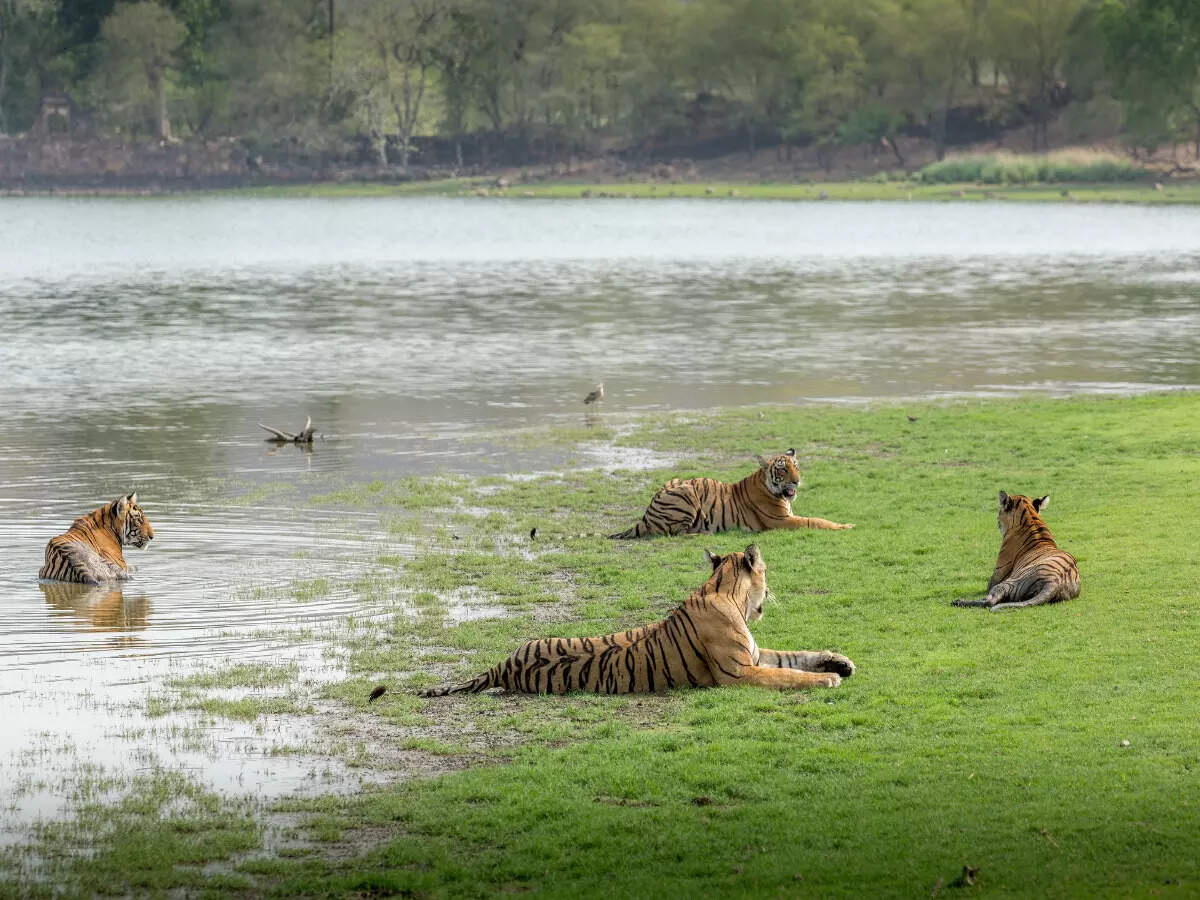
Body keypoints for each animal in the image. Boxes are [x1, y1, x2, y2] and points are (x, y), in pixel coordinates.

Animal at [420, 543, 855, 696]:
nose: (772, 587)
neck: (725, 592)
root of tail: (503, 665)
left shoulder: (756, 655)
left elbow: (796, 656)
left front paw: (840, 662)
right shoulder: (740, 672)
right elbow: (789, 673)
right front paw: (826, 680)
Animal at [609, 448, 853, 539]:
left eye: (796, 467)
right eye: (783, 469)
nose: (797, 481)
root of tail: (645, 515)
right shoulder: (782, 521)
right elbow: (816, 521)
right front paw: (847, 526)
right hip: (686, 492)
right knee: (677, 532)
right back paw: (704, 533)